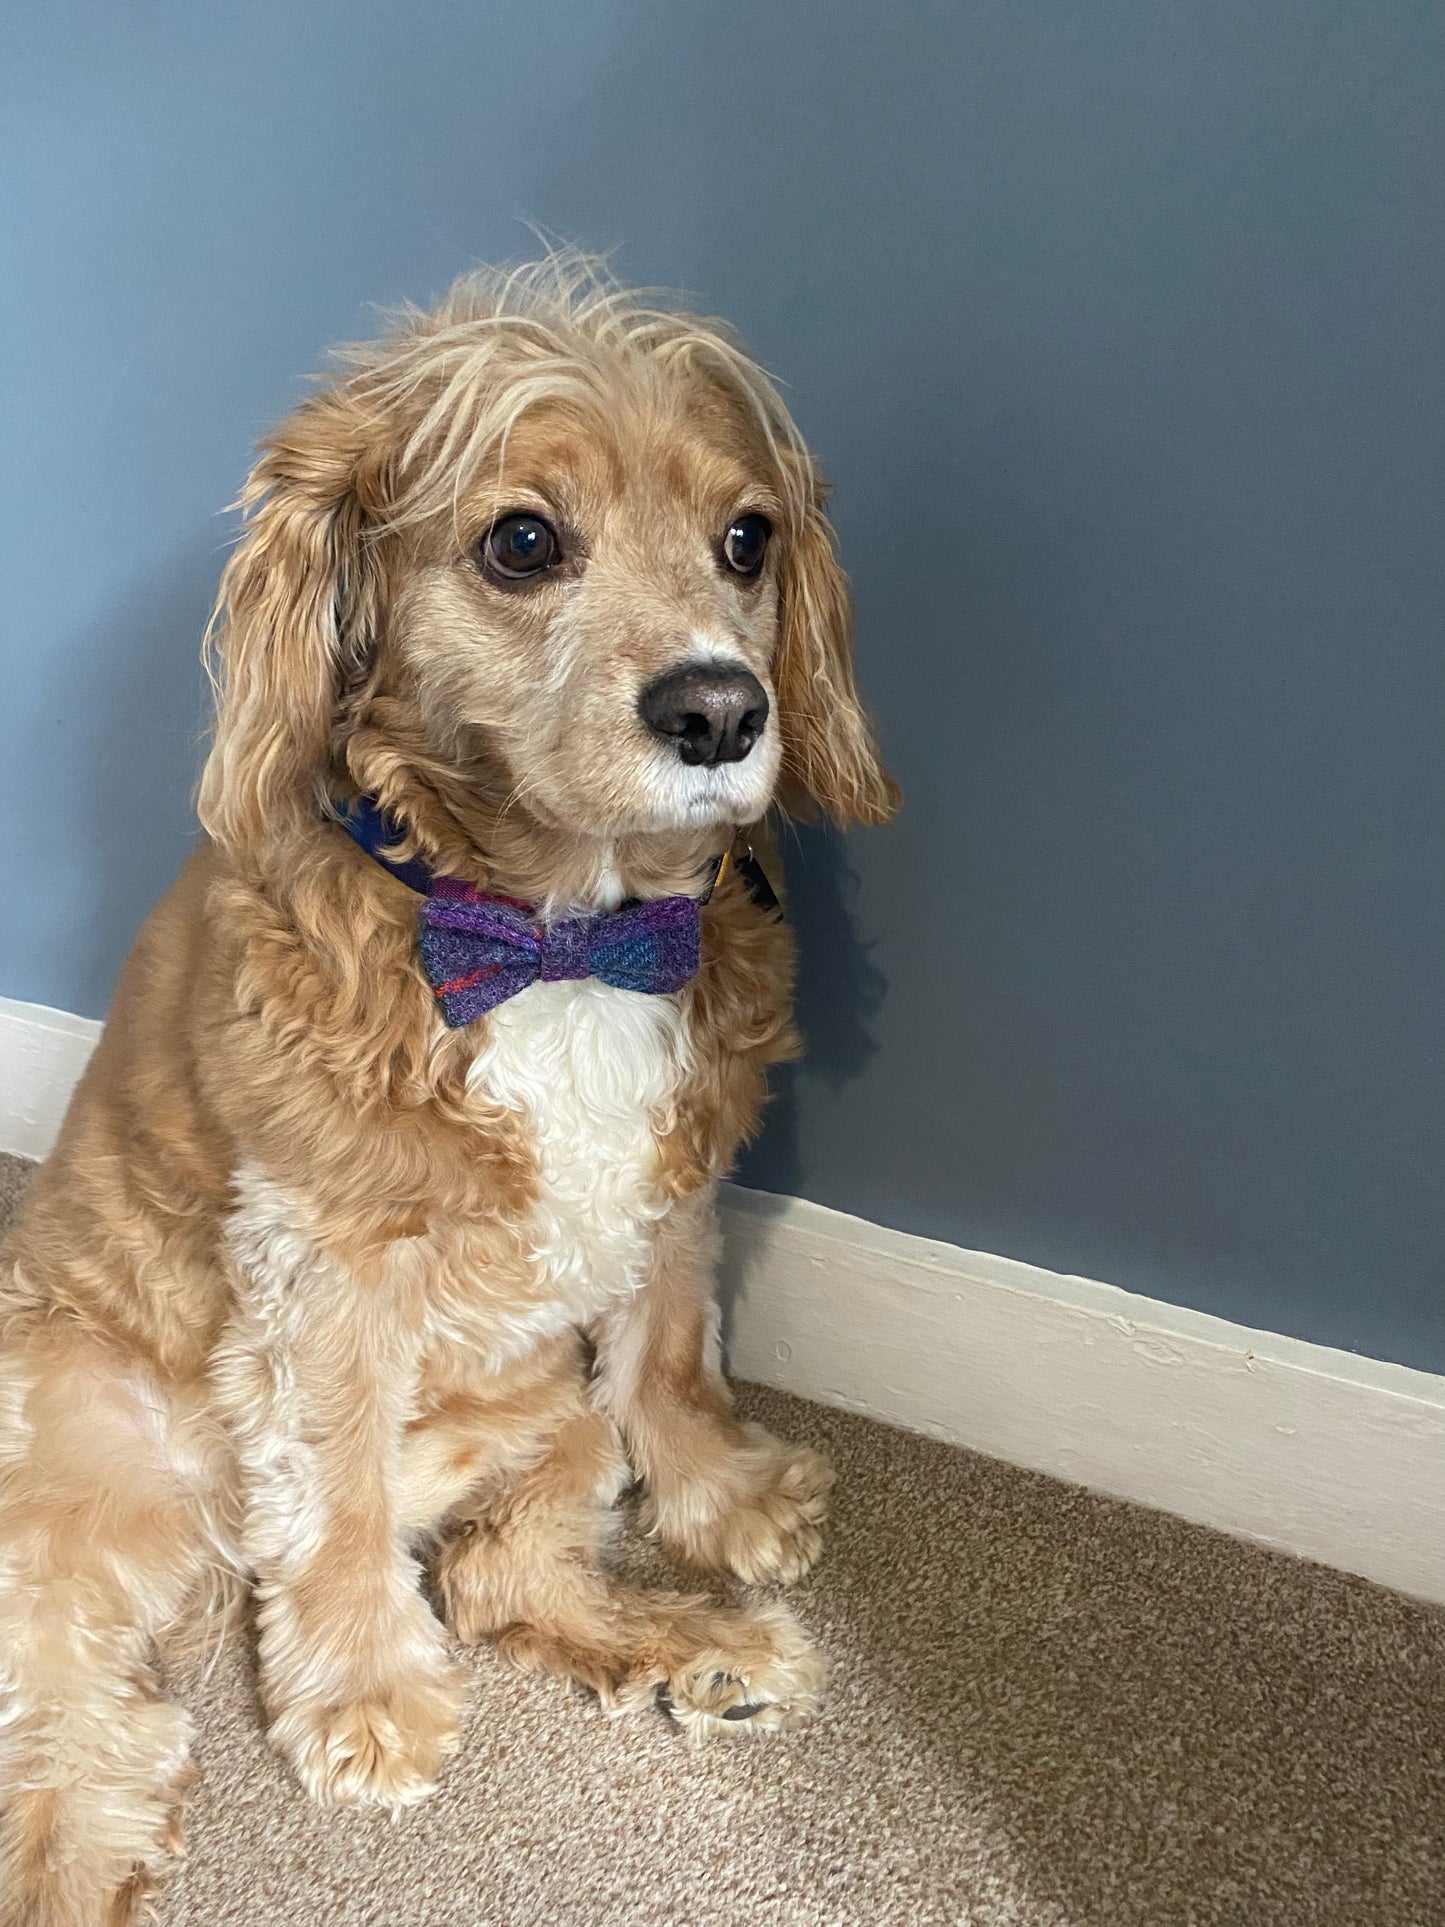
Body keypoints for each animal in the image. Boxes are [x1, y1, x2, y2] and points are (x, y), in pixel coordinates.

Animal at [0, 260, 893, 1927]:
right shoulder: (325, 1253)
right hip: (78, 1465)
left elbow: (673, 1349)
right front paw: (360, 1690)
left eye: (746, 538)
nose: (720, 709)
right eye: (522, 541)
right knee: (66, 1681)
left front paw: (720, 1497)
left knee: (492, 1568)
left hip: (543, 1416)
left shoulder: (672, 1175)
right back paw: (77, 1854)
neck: (560, 931)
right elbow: (337, 1484)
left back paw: (703, 1649)